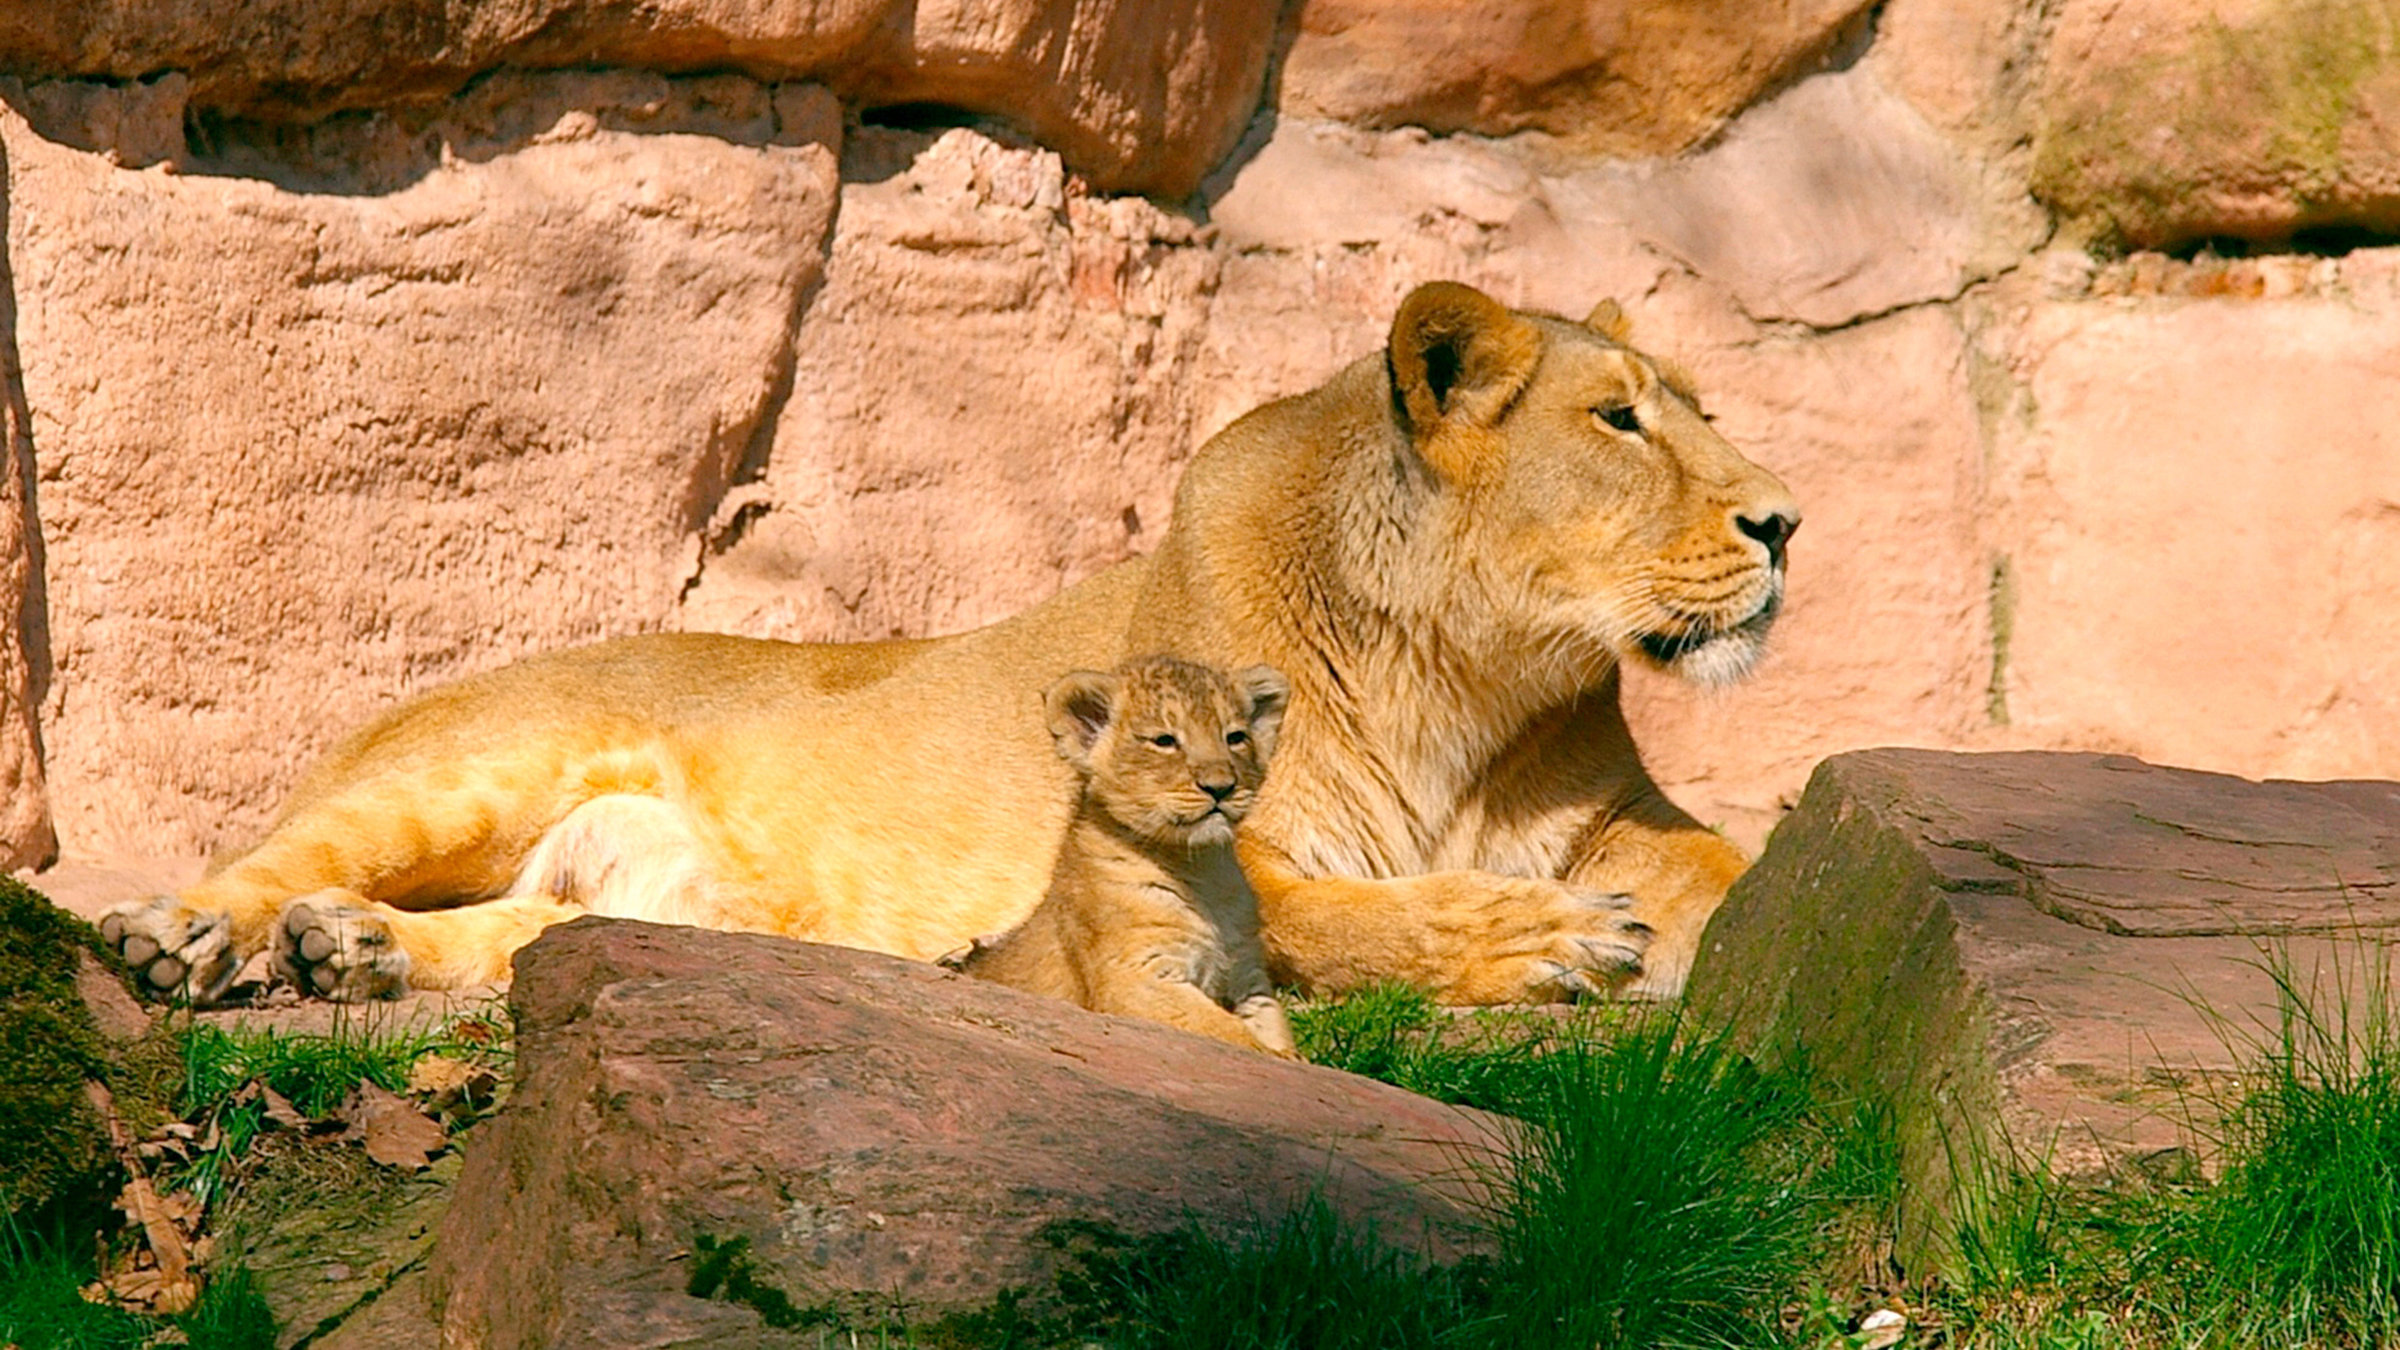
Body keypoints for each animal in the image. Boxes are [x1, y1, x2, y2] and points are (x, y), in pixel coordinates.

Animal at [97, 280, 1798, 1006]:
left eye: (1701, 406)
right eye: (1621, 419)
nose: (1787, 521)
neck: (1464, 679)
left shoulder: (1623, 817)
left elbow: (1740, 878)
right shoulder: (1193, 846)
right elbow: (1354, 920)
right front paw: (1551, 941)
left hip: (671, 909)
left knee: (538, 934)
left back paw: (357, 948)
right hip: (470, 761)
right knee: (275, 851)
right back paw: (198, 937)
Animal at [944, 656, 1298, 1057]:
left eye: (1235, 737)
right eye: (1165, 741)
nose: (1221, 787)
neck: (1205, 870)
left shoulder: (1249, 979)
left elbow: (1274, 1034)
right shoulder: (1133, 979)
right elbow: (1232, 1035)